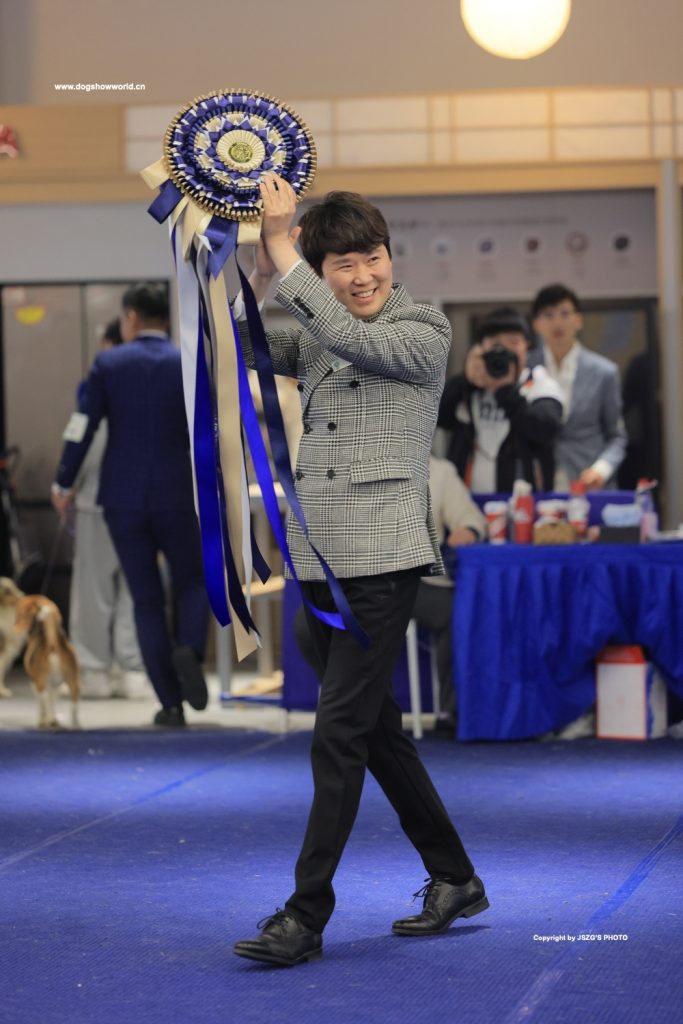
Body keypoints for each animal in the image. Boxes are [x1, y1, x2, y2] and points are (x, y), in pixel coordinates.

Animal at [15, 594, 81, 730]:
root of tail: (53, 645)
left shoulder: (35, 682)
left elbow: (42, 704)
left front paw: (43, 720)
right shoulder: (57, 684)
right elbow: (53, 697)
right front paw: (53, 719)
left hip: (41, 682)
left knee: (44, 698)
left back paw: (49, 720)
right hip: (72, 681)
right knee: (73, 703)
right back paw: (76, 725)